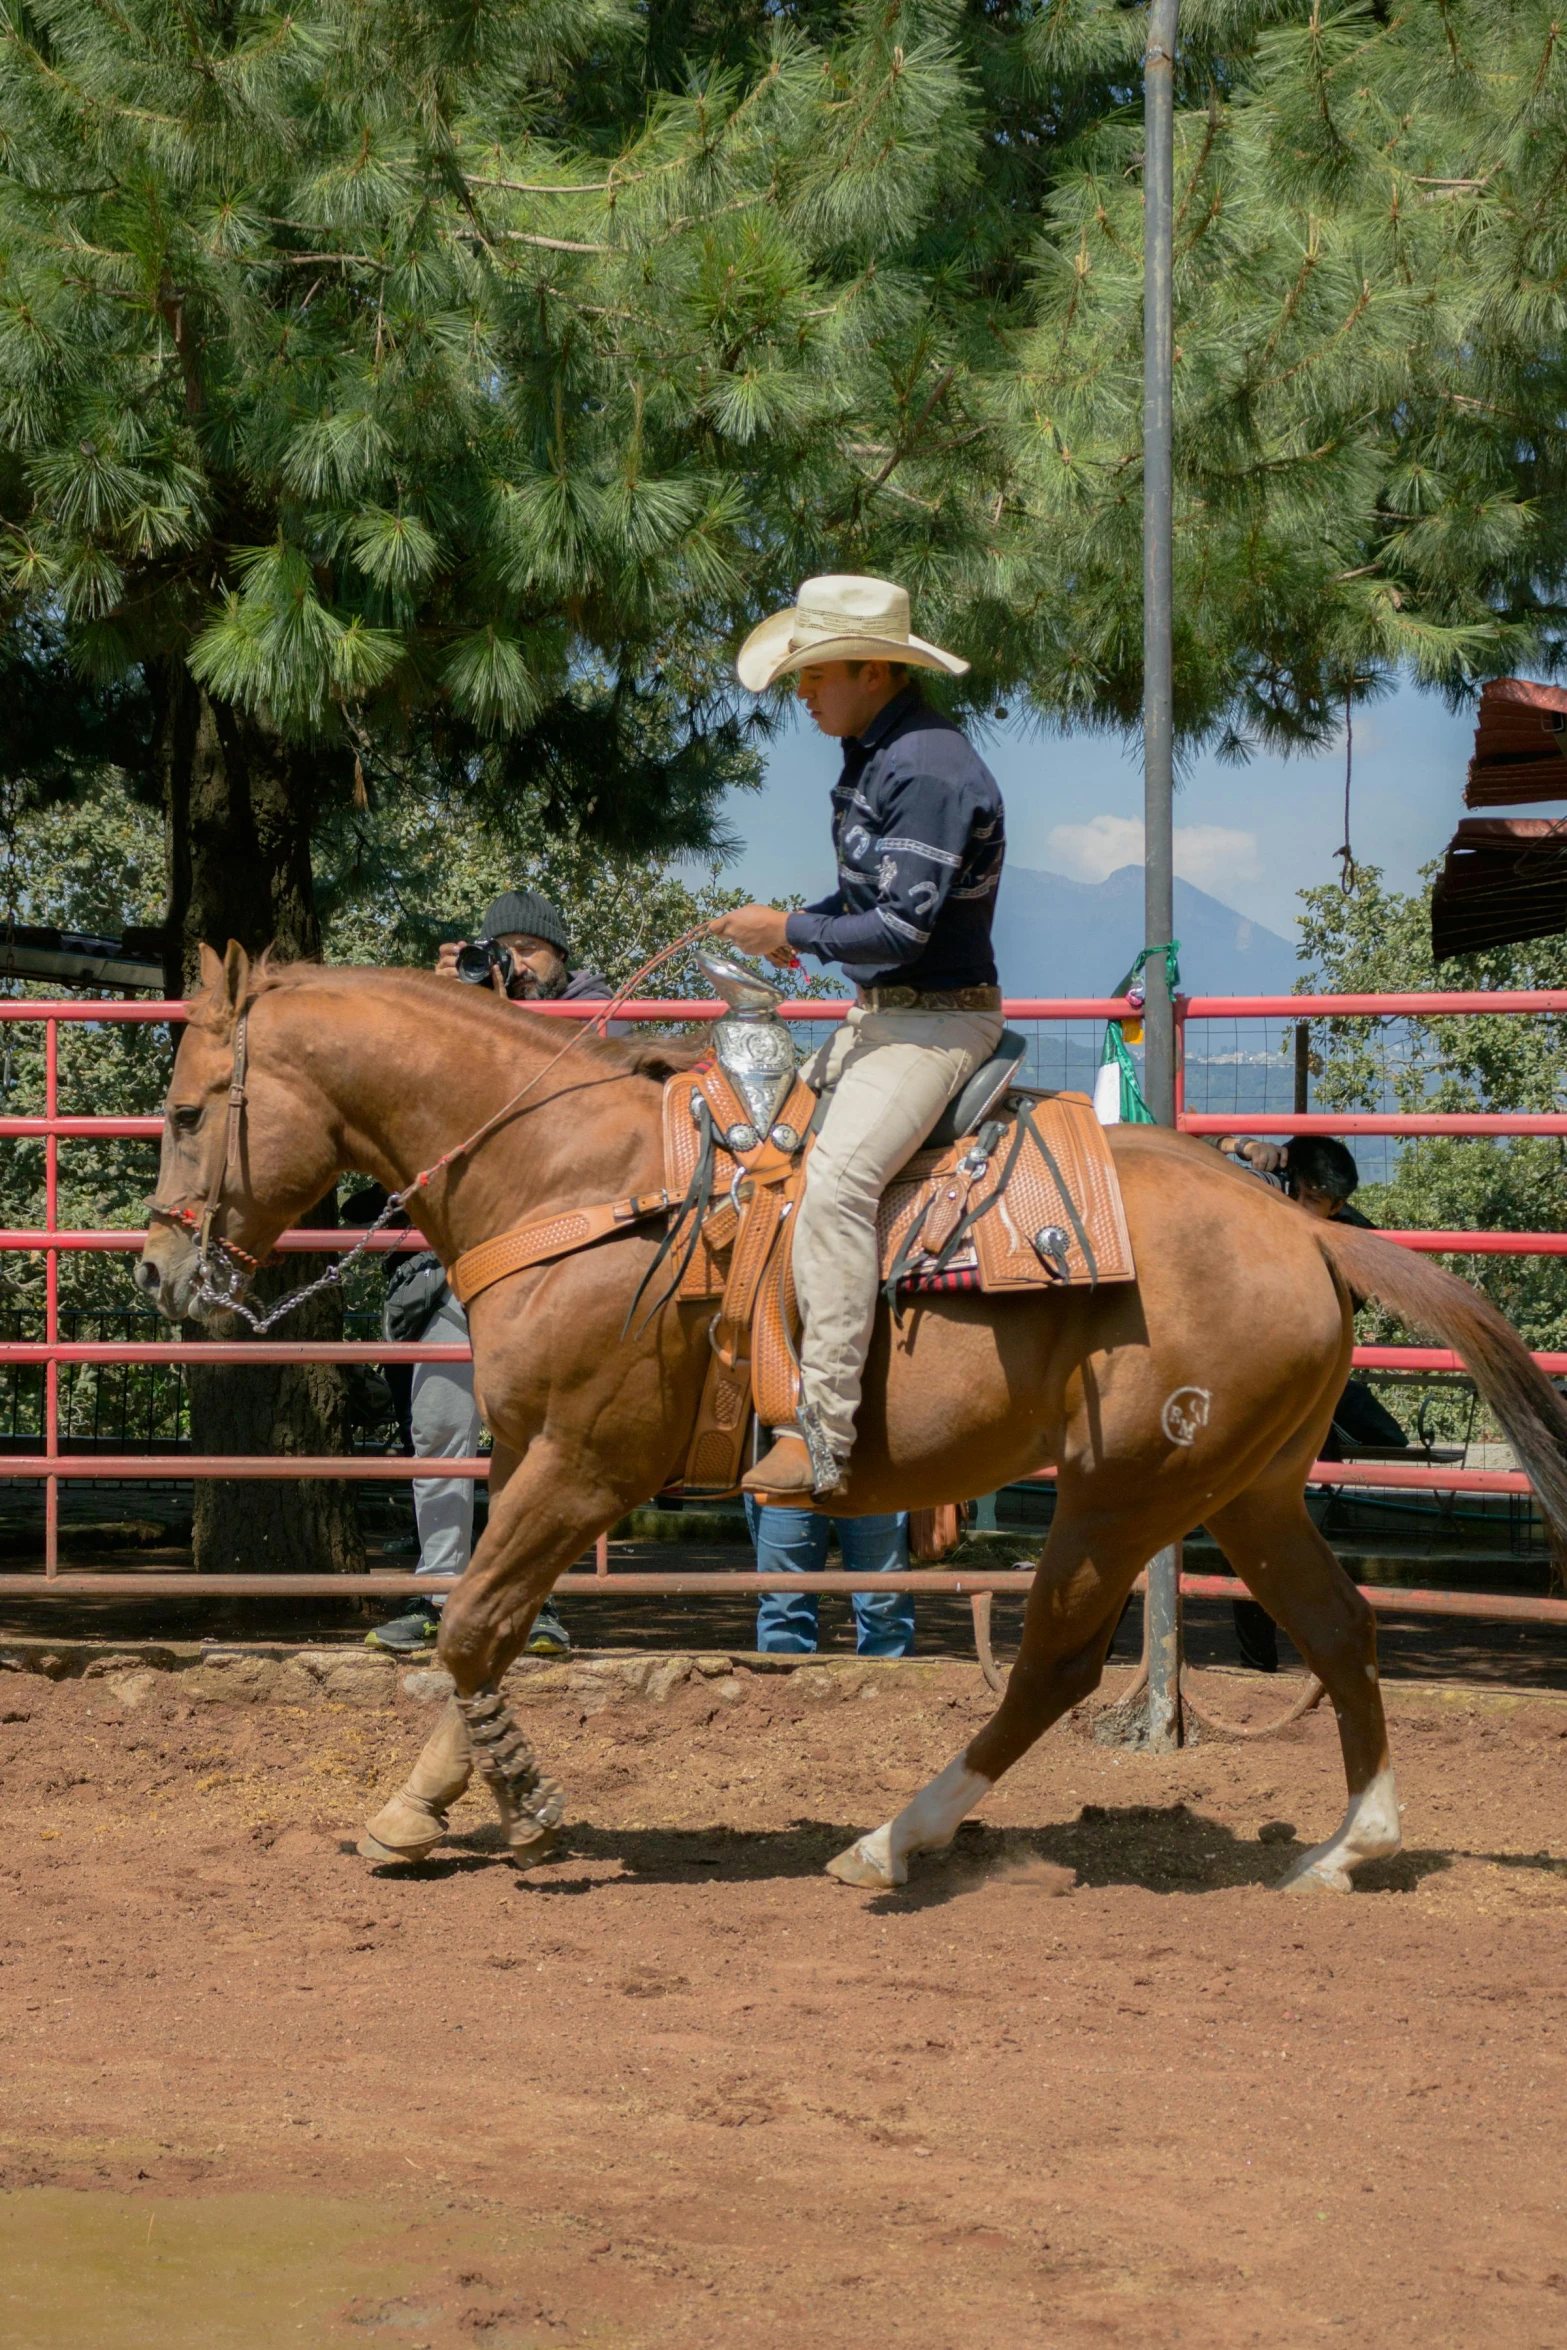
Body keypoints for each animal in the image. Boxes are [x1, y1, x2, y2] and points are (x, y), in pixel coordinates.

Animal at [140, 949, 1567, 1889]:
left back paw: (895, 1839)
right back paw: (1350, 1846)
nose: (161, 1273)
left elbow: (477, 1624)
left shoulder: (589, 1462)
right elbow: (476, 1631)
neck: (572, 1179)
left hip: (1124, 1494)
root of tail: (1304, 1231)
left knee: (1055, 1664)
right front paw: (420, 1805)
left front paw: (525, 1804)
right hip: (1248, 1489)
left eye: (186, 1108)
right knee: (1338, 1627)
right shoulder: (539, 1460)